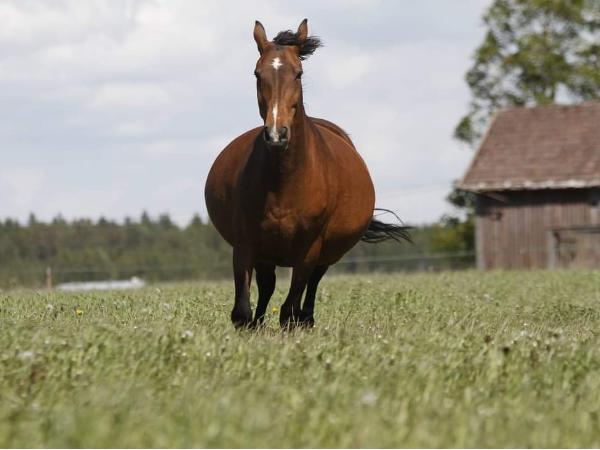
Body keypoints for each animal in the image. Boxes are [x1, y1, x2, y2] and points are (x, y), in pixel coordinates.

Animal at [205, 19, 410, 329]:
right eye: (257, 73)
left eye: (298, 73)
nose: (276, 134)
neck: (283, 182)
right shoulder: (245, 245)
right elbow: (242, 311)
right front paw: (252, 327)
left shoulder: (308, 249)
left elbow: (290, 308)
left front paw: (294, 323)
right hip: (267, 252)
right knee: (267, 287)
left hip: (325, 253)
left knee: (311, 285)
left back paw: (307, 319)